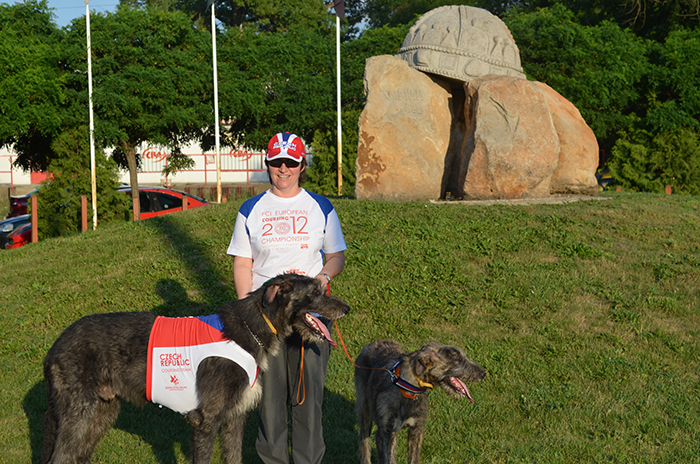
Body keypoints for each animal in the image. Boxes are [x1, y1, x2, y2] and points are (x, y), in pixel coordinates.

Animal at [39, 274, 348, 462]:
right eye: (314, 293)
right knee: (61, 456)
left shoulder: (234, 417)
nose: (345, 308)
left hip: (103, 409)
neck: (251, 329)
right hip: (77, 411)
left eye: (321, 288)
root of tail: (54, 347)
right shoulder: (206, 420)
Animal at [356, 338, 486, 464]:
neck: (407, 390)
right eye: (458, 359)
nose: (483, 373)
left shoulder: (416, 429)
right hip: (364, 411)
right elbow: (387, 458)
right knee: (364, 442)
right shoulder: (384, 432)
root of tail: (373, 343)